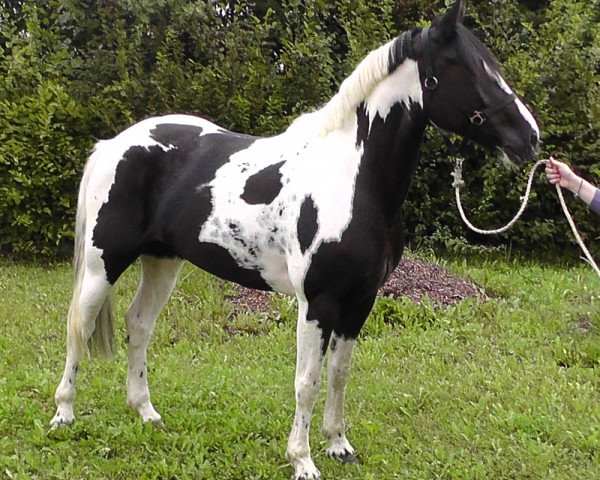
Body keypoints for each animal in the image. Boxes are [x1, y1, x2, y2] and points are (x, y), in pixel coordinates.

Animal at [51, 1, 540, 478]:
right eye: (467, 67)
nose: (530, 138)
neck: (353, 182)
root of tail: (113, 144)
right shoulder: (317, 303)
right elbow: (307, 381)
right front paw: (302, 460)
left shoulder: (360, 301)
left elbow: (340, 372)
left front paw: (339, 445)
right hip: (103, 262)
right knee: (79, 325)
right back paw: (64, 415)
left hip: (162, 261)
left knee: (138, 324)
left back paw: (146, 412)